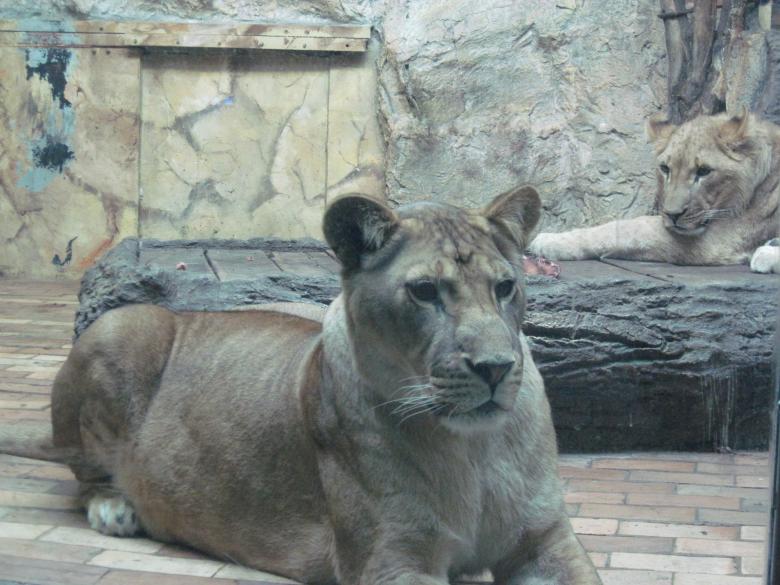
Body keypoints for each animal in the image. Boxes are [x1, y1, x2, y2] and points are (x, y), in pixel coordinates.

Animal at [21, 186, 602, 585]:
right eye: (423, 291)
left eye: (505, 287)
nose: (496, 368)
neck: (474, 451)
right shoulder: (392, 558)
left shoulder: (546, 540)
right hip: (122, 327)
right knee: (83, 469)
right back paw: (116, 509)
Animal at [529, 111, 780, 273]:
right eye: (665, 168)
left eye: (704, 171)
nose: (672, 215)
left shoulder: (720, 240)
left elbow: (629, 229)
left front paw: (548, 240)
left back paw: (766, 254)